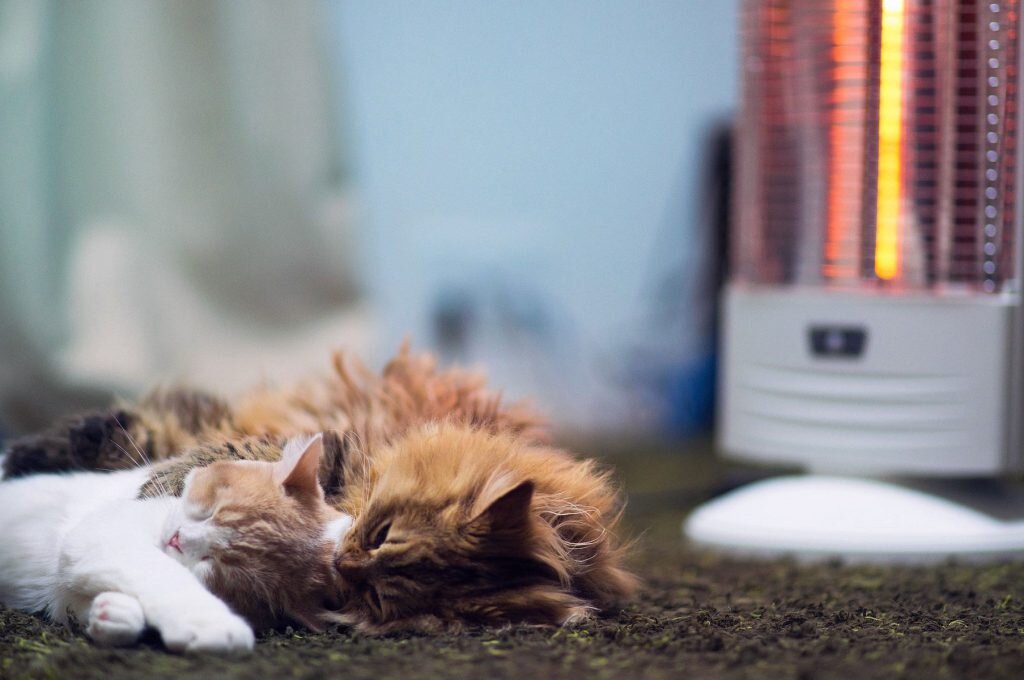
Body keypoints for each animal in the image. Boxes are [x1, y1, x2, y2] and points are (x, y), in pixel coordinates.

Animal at [0, 433, 351, 651]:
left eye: (217, 566)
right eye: (213, 509)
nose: (177, 539)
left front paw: (112, 613)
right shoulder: (101, 535)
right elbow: (161, 574)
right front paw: (210, 623)